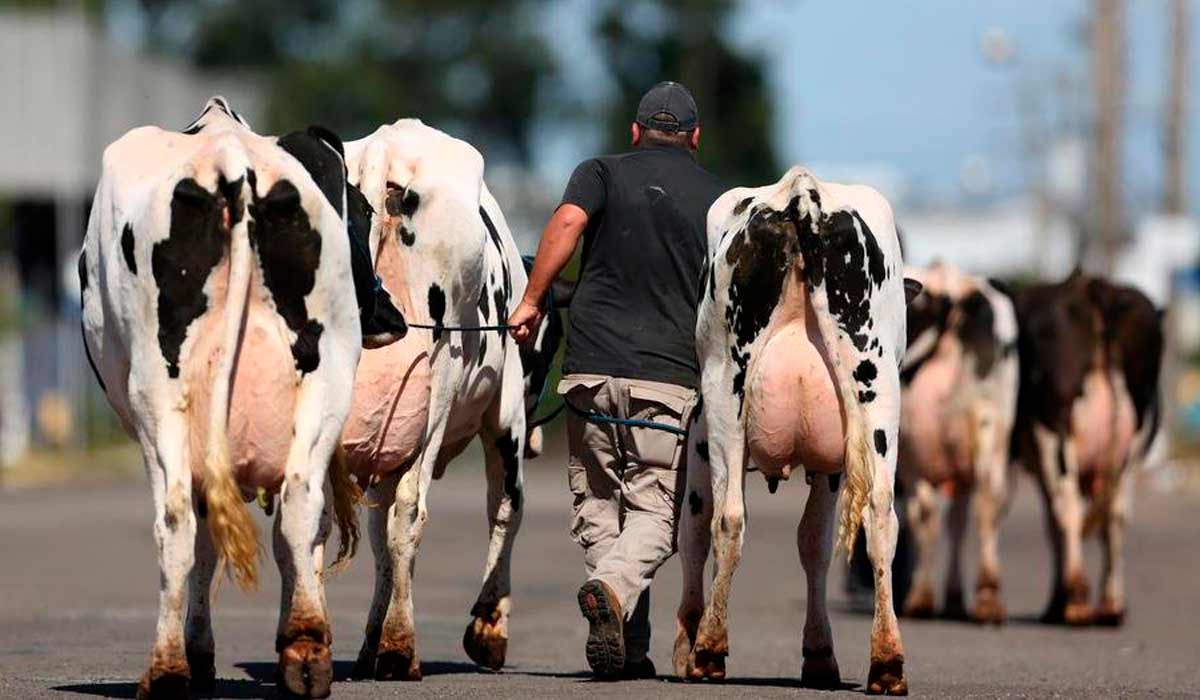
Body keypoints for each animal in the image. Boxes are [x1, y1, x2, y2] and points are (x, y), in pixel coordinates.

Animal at [81, 98, 374, 700]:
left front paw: (197, 655)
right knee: (300, 505)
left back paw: (167, 670)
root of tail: (229, 156)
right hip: (329, 374)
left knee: (175, 519)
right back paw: (304, 653)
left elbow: (201, 539)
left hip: (157, 393)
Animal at [333, 118, 549, 677]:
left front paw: (369, 640)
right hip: (441, 383)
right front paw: (488, 629)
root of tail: (385, 150)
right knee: (414, 509)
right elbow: (507, 508)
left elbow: (378, 536)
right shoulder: (506, 416)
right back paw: (399, 646)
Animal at [672, 165, 912, 696]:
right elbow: (814, 544)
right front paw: (820, 654)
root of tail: (803, 192)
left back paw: (709, 650)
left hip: (725, 389)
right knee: (880, 516)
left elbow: (694, 530)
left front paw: (686, 639)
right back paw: (887, 660)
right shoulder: (833, 466)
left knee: (728, 518)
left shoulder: (699, 436)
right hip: (877, 394)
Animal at [897, 260, 1017, 619]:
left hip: (913, 442)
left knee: (925, 513)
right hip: (988, 422)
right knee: (986, 504)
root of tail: (951, 285)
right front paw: (953, 594)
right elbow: (959, 520)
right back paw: (987, 595)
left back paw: (921, 595)